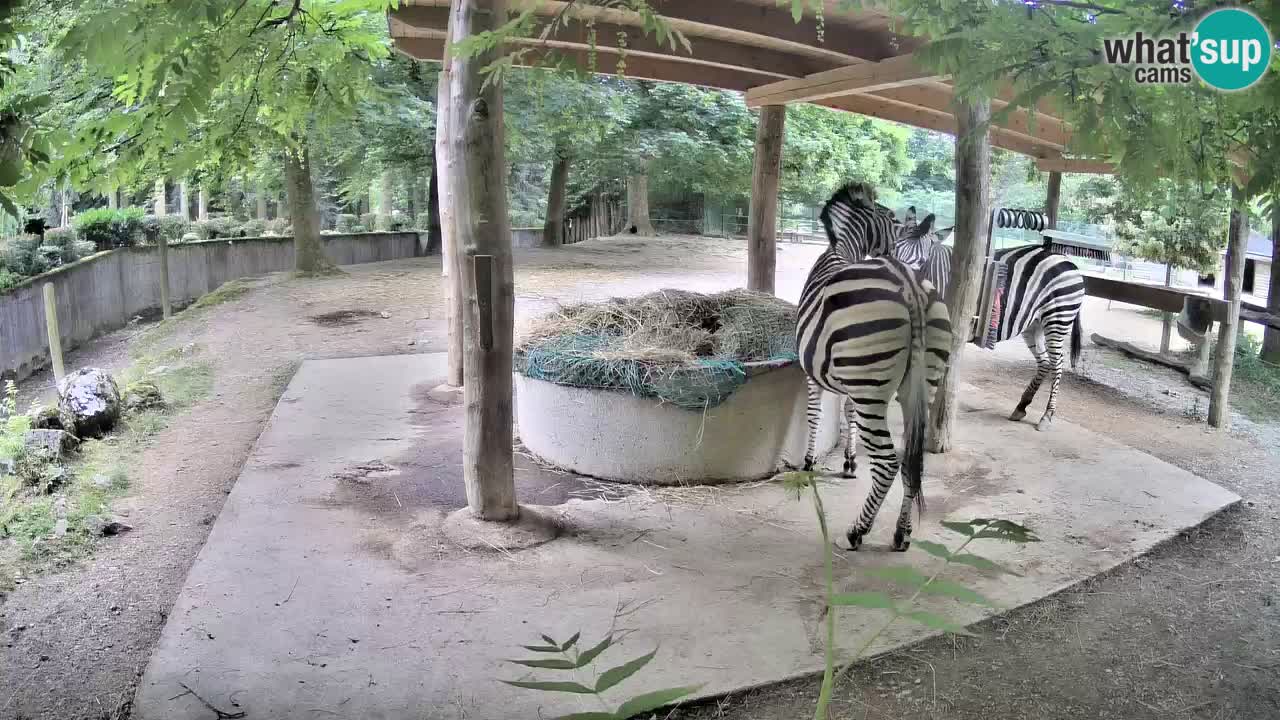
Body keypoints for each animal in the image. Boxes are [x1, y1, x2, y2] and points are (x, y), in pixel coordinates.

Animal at [798, 183, 952, 552]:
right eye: (895, 220)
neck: (842, 251)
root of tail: (909, 285)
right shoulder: (849, 381)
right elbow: (848, 412)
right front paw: (849, 461)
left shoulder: (814, 374)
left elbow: (814, 415)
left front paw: (809, 462)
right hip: (920, 386)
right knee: (911, 461)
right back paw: (901, 533)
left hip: (871, 388)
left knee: (887, 463)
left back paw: (857, 531)